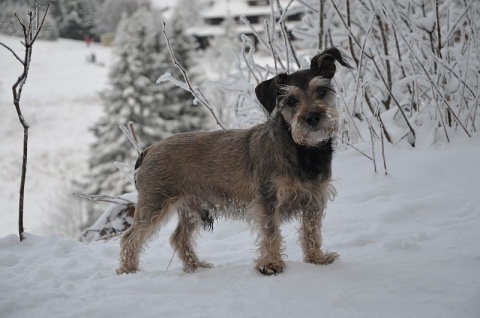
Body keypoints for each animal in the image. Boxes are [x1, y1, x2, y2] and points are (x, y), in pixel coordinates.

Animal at [115, 47, 348, 276]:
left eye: (321, 91)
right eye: (291, 101)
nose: (313, 117)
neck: (301, 150)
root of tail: (148, 150)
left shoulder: (314, 200)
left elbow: (311, 231)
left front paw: (316, 258)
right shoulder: (268, 200)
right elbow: (271, 233)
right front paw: (271, 264)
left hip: (190, 208)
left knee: (179, 238)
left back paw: (196, 266)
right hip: (154, 204)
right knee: (130, 238)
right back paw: (129, 271)